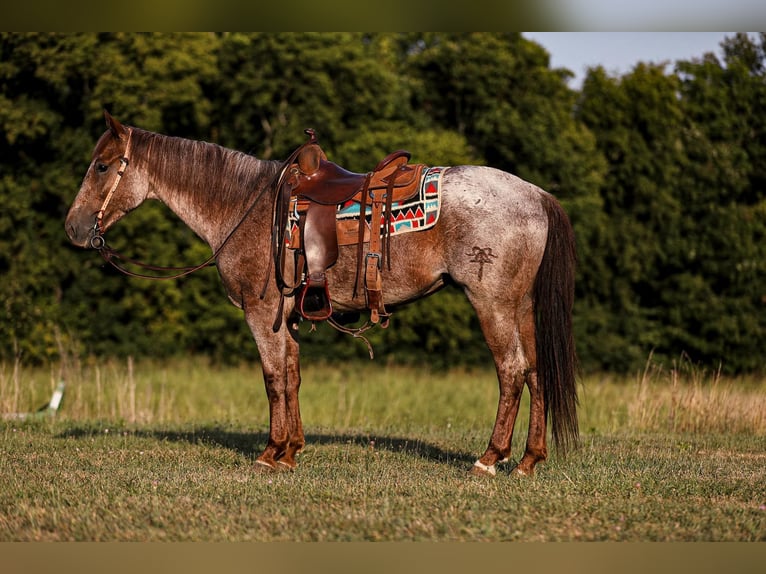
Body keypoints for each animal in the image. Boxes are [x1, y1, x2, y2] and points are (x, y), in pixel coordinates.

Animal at [66, 111, 580, 476]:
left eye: (102, 165)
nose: (73, 227)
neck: (243, 206)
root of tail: (535, 195)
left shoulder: (261, 311)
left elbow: (273, 377)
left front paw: (270, 452)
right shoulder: (288, 315)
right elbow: (292, 375)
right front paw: (291, 450)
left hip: (492, 304)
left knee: (511, 371)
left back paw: (490, 458)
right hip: (521, 306)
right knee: (536, 371)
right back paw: (529, 460)